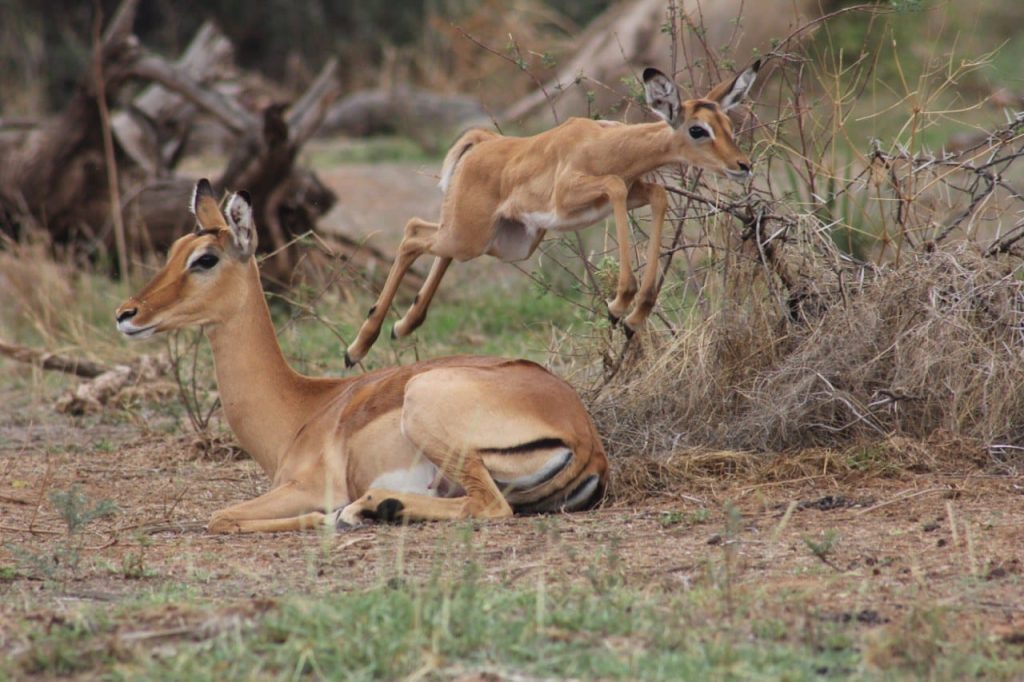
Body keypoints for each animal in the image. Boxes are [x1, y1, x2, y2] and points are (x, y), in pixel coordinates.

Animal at [115, 180, 608, 533]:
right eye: (174, 250)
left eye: (205, 259)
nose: (126, 314)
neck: (301, 410)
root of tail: (585, 436)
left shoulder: (306, 486)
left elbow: (221, 517)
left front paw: (322, 518)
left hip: (428, 410)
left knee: (489, 505)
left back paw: (365, 509)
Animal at [344, 60, 761, 366]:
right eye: (697, 129)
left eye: (727, 123)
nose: (742, 165)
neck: (605, 144)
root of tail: (483, 142)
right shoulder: (575, 196)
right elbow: (614, 186)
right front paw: (618, 304)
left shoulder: (636, 189)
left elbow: (659, 195)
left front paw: (635, 315)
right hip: (469, 236)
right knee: (413, 232)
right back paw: (356, 349)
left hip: (497, 242)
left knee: (429, 244)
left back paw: (401, 327)